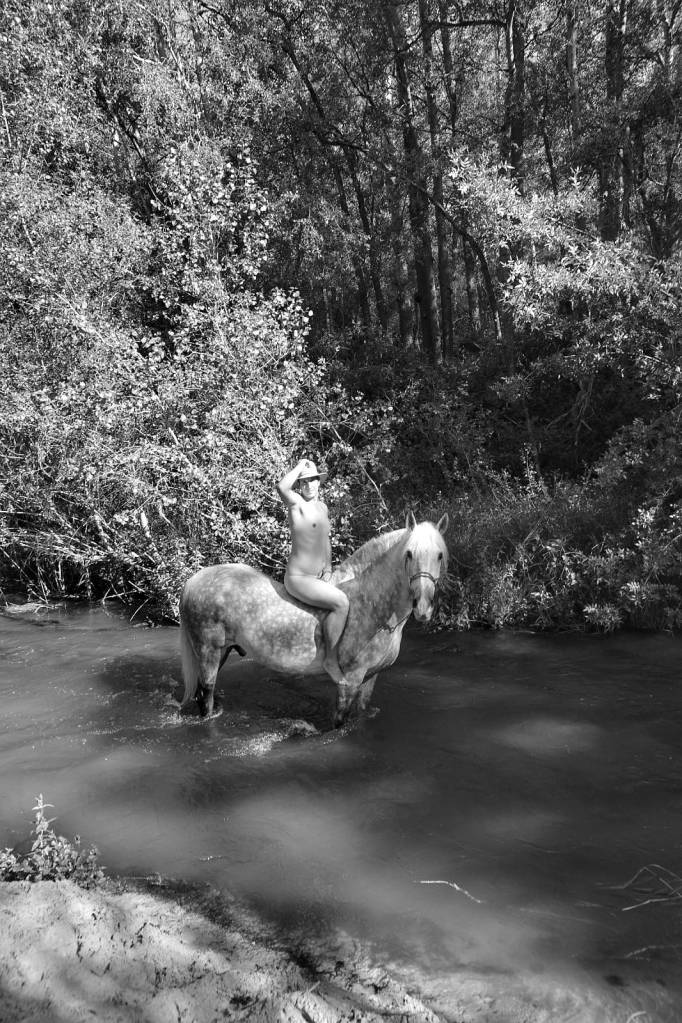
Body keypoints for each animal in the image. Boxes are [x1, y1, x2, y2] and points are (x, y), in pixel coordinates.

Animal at [179, 511, 449, 728]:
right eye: (409, 554)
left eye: (439, 555)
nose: (422, 607)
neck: (372, 605)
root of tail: (194, 580)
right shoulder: (350, 680)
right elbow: (339, 722)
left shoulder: (370, 679)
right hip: (208, 652)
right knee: (206, 695)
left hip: (222, 651)